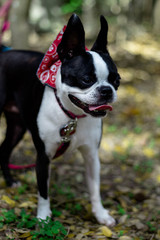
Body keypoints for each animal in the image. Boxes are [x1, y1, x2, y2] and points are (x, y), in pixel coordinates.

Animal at [0, 14, 120, 226]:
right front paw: (43, 218)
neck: (72, 115)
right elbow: (43, 191)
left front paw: (100, 214)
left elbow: (95, 189)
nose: (107, 90)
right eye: (86, 79)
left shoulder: (91, 155)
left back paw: (10, 181)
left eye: (117, 80)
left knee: (4, 150)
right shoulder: (43, 156)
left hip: (17, 126)